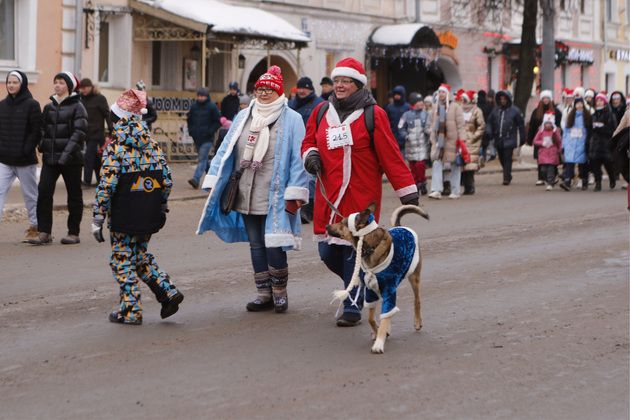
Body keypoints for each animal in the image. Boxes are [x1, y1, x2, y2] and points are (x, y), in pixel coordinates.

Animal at [326, 202, 429, 353]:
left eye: (341, 223)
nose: (327, 226)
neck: (371, 247)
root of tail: (401, 226)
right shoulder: (371, 290)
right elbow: (371, 317)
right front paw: (379, 331)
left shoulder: (389, 289)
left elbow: (384, 317)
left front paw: (379, 343)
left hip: (413, 277)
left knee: (417, 300)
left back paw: (418, 321)